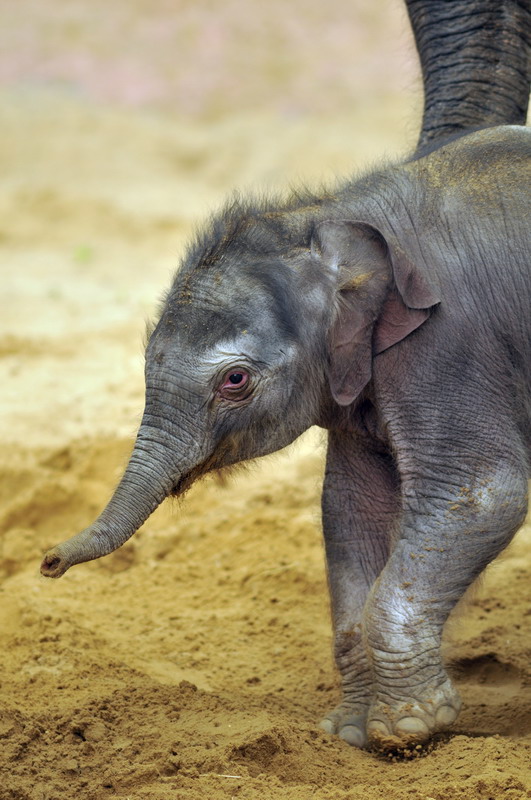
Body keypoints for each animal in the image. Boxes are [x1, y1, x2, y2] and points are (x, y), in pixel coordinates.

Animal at [41, 123, 531, 750]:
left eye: (235, 379)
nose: (47, 561)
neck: (330, 216)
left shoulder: (448, 347)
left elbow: (481, 494)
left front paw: (410, 731)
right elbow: (353, 508)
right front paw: (349, 735)